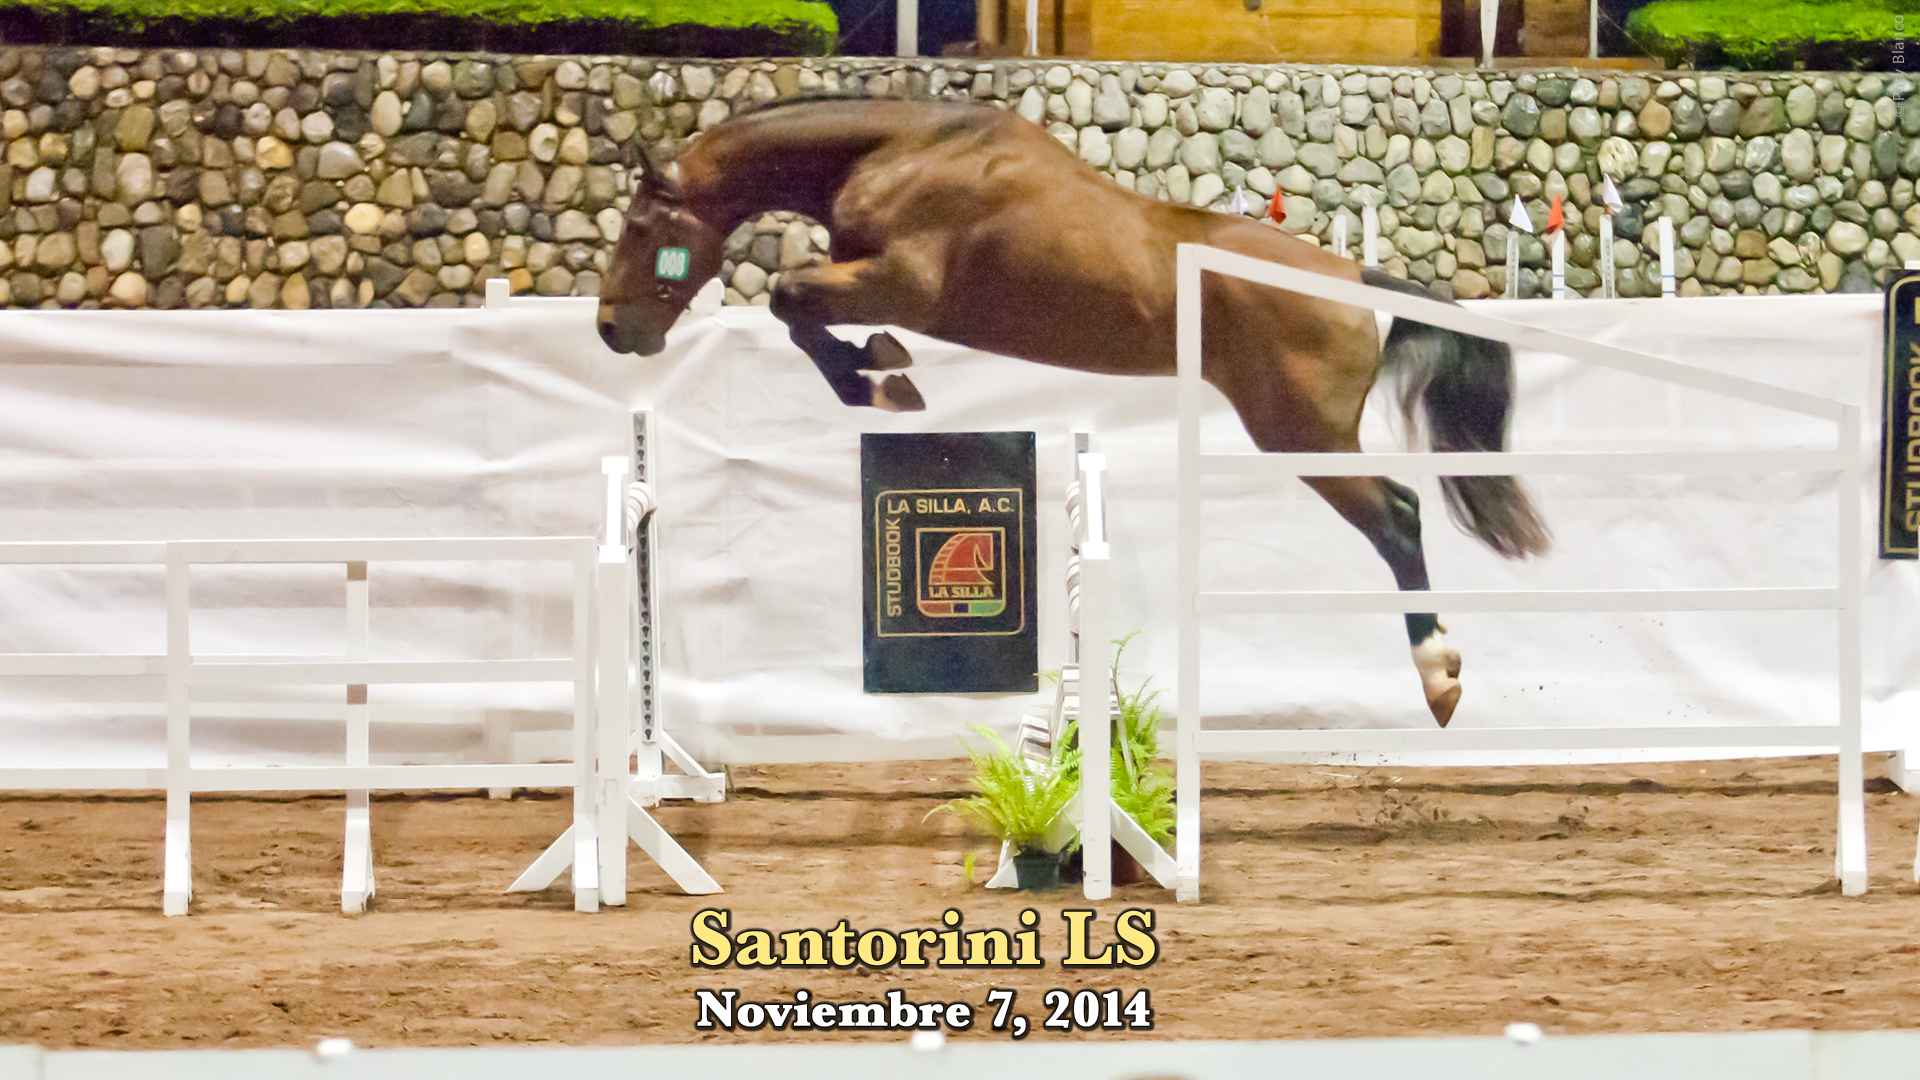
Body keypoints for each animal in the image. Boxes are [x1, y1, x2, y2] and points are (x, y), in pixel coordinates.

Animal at [595, 95, 1550, 727]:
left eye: (640, 230)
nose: (609, 330)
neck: (900, 153)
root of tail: (1353, 277)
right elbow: (799, 314)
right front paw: (881, 370)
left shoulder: (903, 282)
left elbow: (789, 299)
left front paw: (879, 375)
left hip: (1302, 436)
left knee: (1397, 515)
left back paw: (1439, 676)